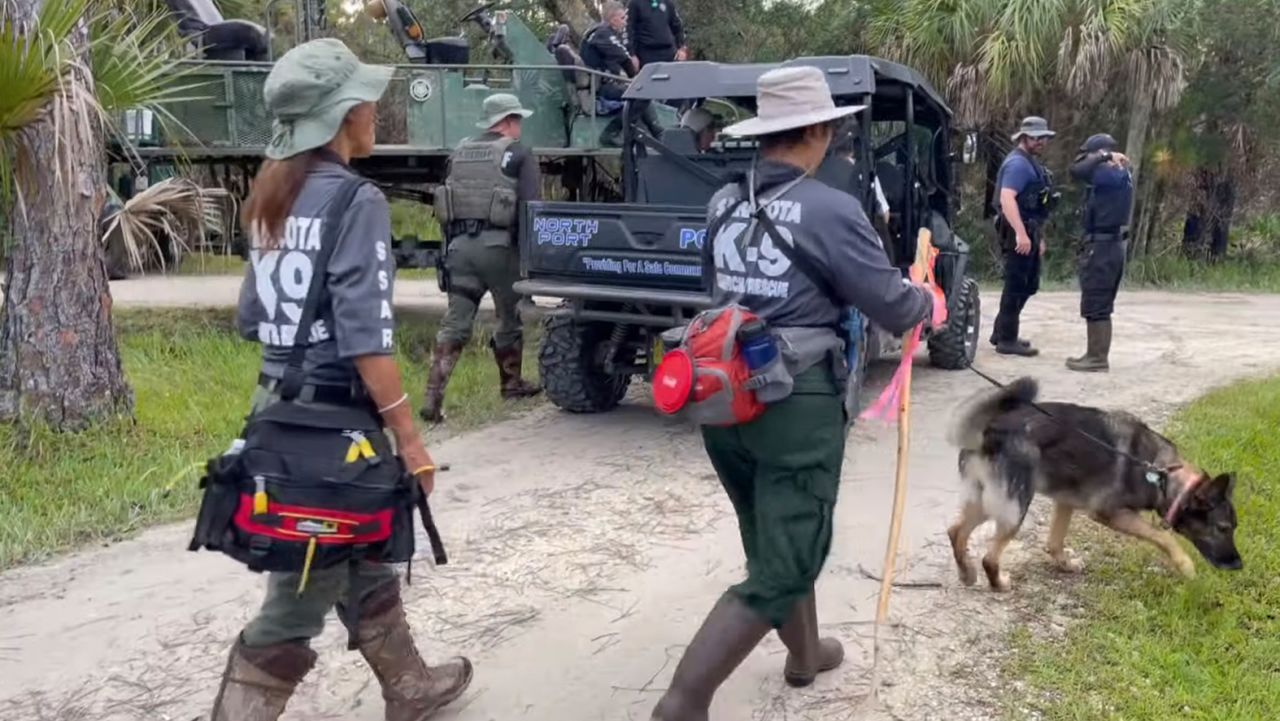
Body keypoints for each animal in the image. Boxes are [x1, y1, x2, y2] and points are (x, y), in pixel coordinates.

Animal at [947, 379, 1244, 591]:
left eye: (1233, 528)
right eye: (1222, 528)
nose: (1238, 565)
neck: (1162, 474)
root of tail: (992, 429)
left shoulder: (1065, 502)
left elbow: (1054, 542)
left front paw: (1065, 564)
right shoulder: (1111, 514)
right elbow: (1163, 537)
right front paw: (1185, 565)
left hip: (988, 500)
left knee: (955, 531)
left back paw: (966, 572)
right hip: (1015, 506)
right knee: (989, 557)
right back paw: (998, 584)